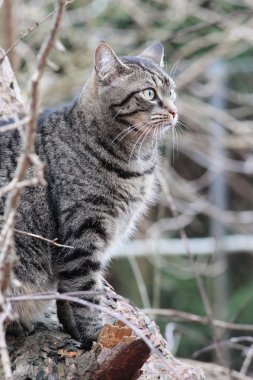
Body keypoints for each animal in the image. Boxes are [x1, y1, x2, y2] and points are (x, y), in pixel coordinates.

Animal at [0, 41, 178, 348]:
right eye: (149, 93)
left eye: (172, 91)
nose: (175, 111)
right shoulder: (83, 234)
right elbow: (86, 294)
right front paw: (96, 336)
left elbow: (67, 297)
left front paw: (75, 332)